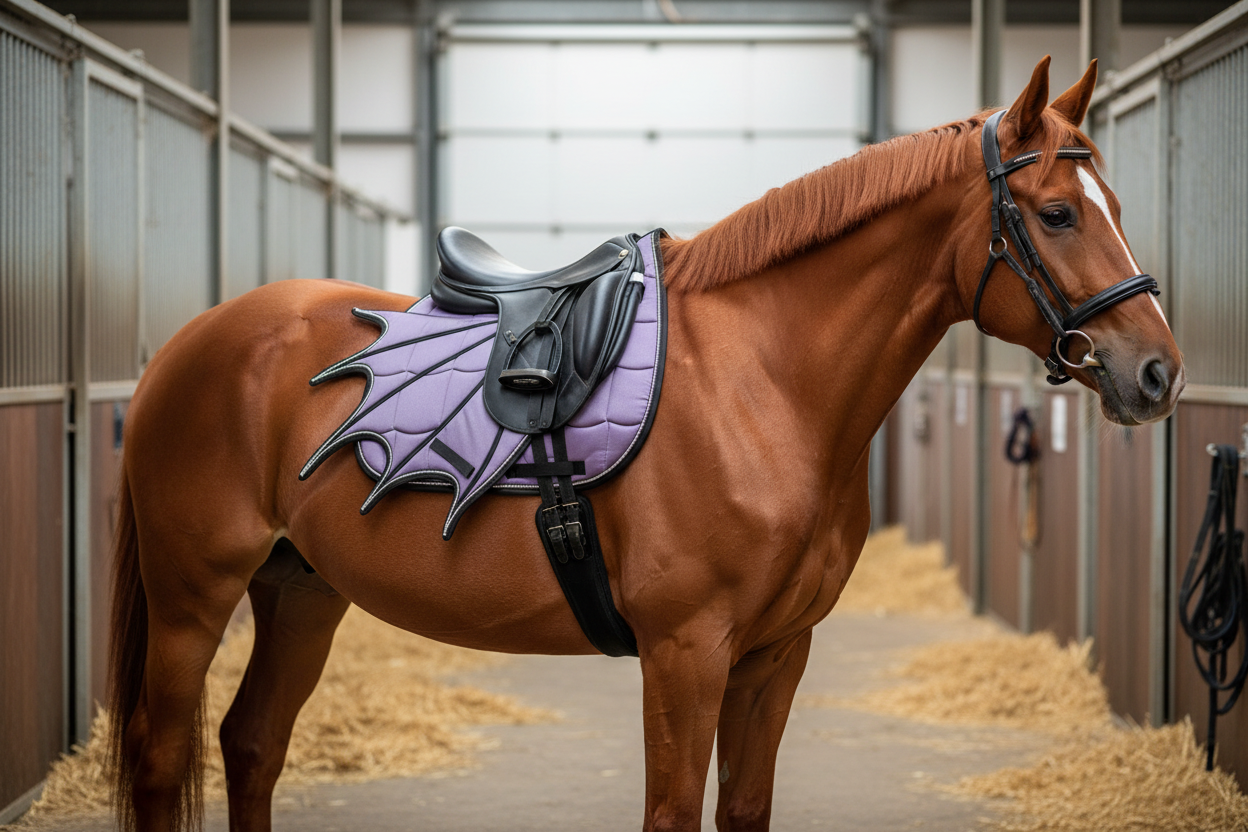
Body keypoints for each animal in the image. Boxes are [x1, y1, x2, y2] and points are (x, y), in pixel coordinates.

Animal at [106, 56, 1183, 832]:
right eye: (1057, 213)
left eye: (1120, 211)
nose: (1159, 374)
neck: (760, 383)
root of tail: (191, 346)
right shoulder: (685, 654)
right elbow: (671, 813)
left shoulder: (773, 656)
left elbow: (742, 809)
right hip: (193, 596)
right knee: (163, 758)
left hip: (300, 589)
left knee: (252, 744)